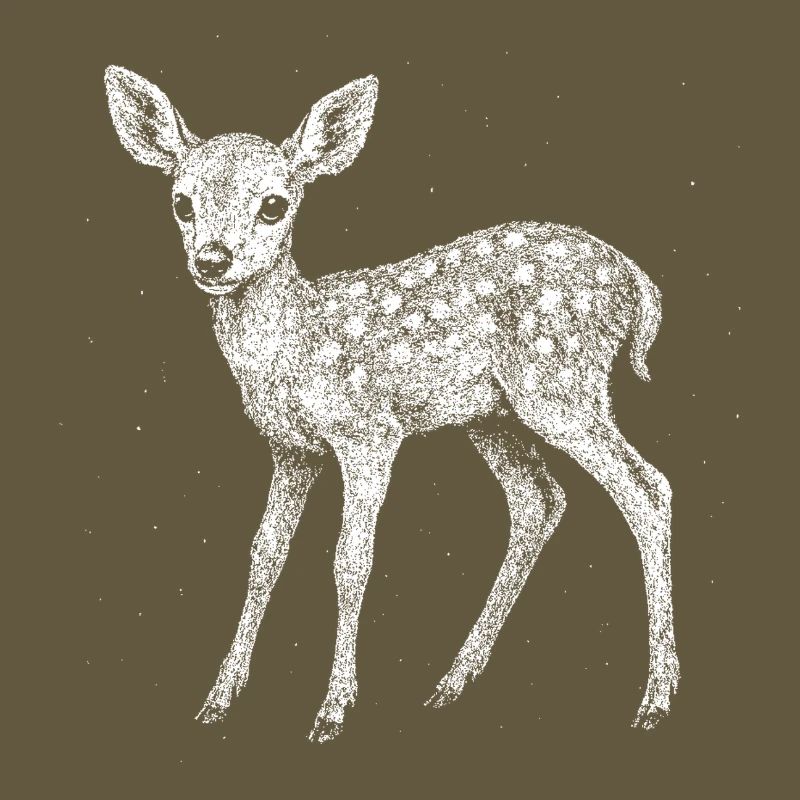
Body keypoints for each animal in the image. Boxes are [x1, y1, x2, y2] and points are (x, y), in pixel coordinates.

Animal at [104, 66, 679, 742]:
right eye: (181, 202)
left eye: (274, 204)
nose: (213, 260)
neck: (296, 344)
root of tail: (640, 284)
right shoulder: (291, 449)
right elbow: (264, 553)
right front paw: (219, 697)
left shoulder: (369, 434)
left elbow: (350, 560)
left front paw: (333, 708)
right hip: (493, 415)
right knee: (539, 501)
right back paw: (453, 681)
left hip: (561, 383)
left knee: (646, 487)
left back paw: (656, 698)